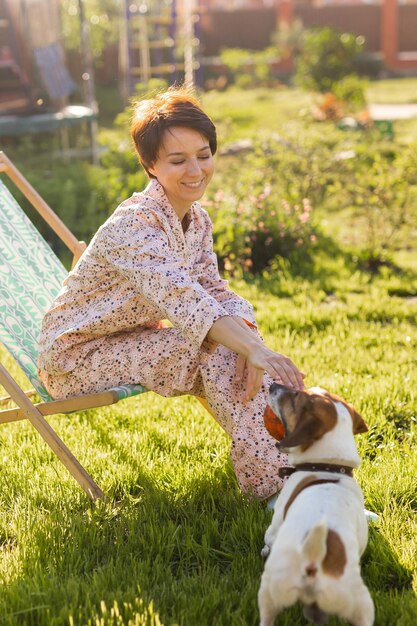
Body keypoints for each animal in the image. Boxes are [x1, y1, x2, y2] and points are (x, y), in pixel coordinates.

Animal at [256, 380, 374, 624]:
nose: (273, 384)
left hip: (270, 589)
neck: (327, 467)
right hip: (360, 605)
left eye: (295, 397)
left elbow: (269, 538)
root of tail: (313, 562)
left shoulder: (277, 521)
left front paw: (265, 550)